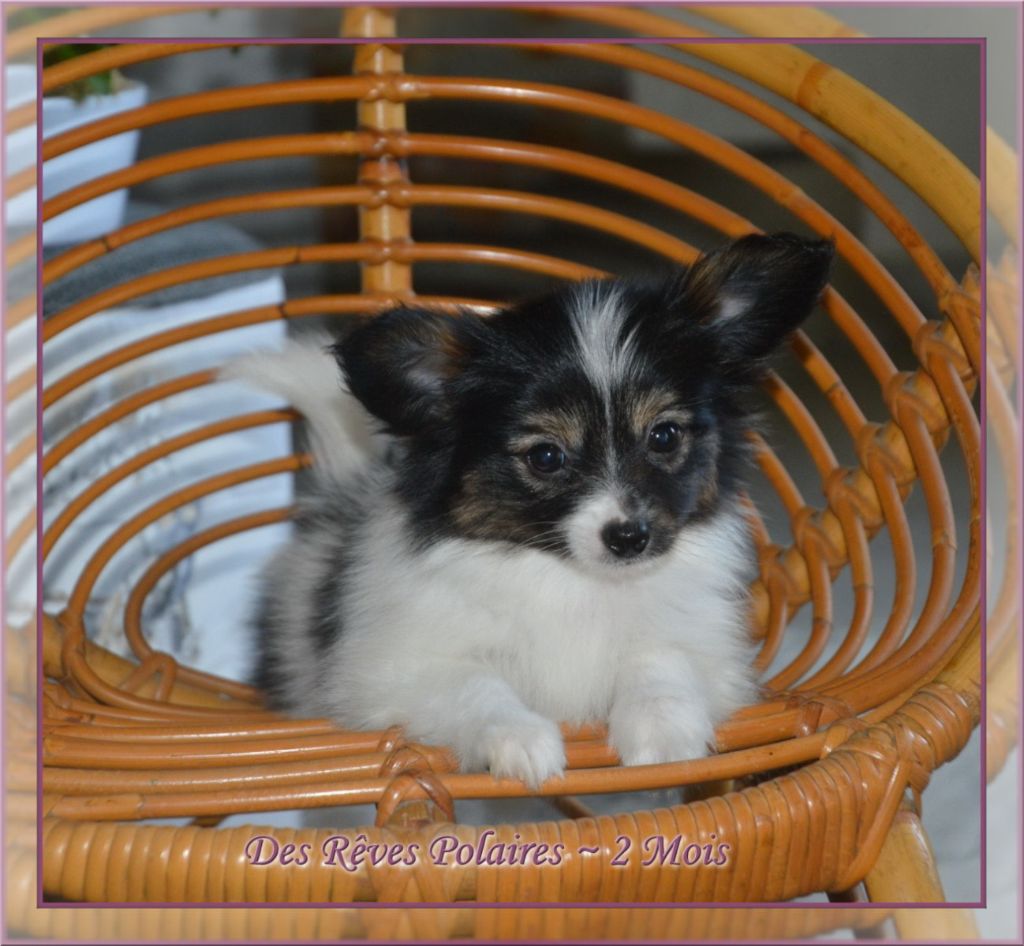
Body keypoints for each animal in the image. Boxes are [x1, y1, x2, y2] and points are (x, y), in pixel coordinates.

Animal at [226, 232, 833, 788]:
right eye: (546, 457)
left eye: (664, 436)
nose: (629, 537)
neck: (573, 581)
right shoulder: (396, 670)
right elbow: (474, 687)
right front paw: (518, 740)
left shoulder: (703, 646)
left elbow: (661, 659)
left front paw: (662, 732)